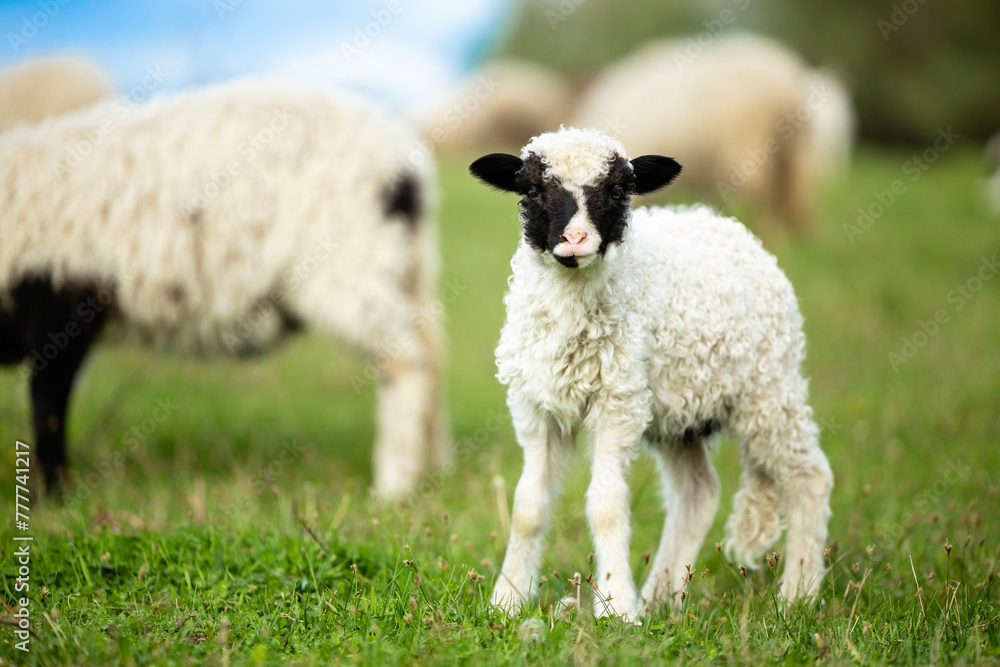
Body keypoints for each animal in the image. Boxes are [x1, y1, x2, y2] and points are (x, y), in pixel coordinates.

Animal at [0, 80, 450, 499]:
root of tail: (407, 168)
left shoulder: (62, 300)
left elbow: (47, 403)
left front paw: (50, 496)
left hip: (345, 267)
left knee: (405, 357)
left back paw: (394, 486)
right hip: (405, 267)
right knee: (431, 349)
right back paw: (435, 468)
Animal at [469, 127, 833, 619]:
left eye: (617, 191)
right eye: (532, 190)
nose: (575, 238)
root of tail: (728, 229)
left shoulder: (619, 400)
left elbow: (606, 505)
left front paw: (617, 606)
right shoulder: (536, 405)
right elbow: (528, 506)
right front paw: (506, 600)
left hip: (768, 386)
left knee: (809, 477)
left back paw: (797, 595)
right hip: (680, 411)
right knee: (698, 493)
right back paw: (662, 596)